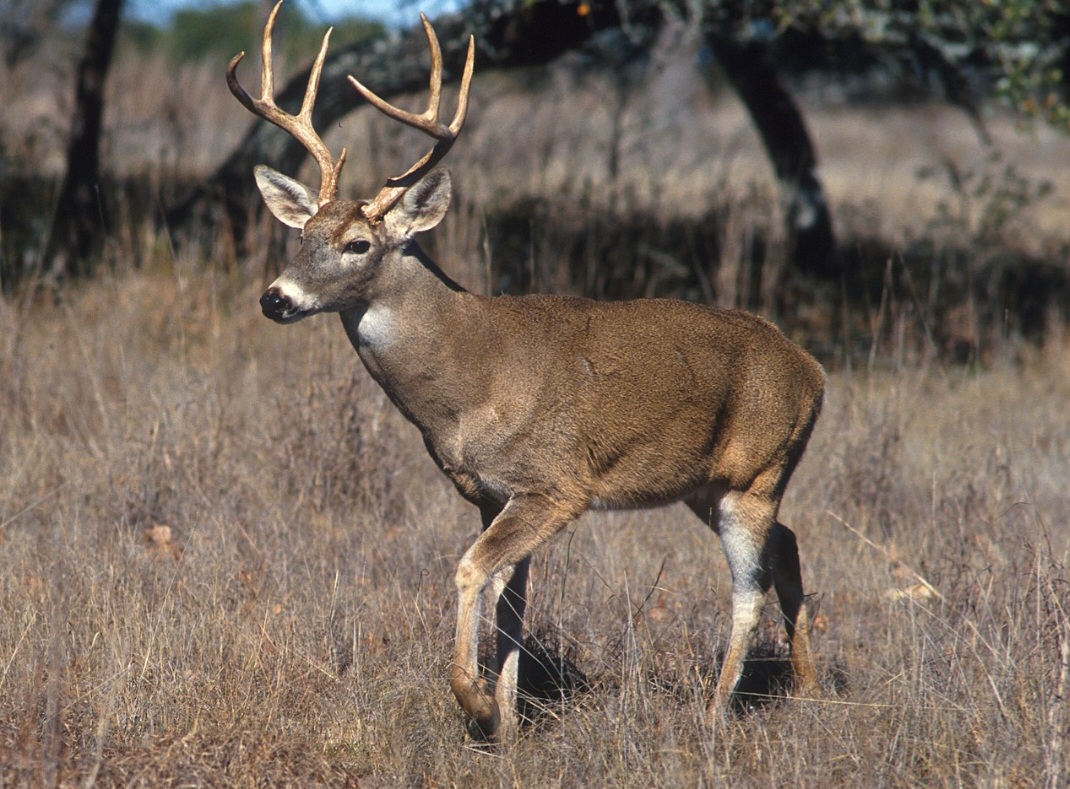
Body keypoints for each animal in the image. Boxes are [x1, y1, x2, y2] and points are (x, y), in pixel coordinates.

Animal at [230, 3, 821, 736]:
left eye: (358, 243)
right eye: (302, 235)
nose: (275, 298)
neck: (469, 380)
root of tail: (814, 371)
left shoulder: (555, 484)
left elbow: (469, 571)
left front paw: (477, 701)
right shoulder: (491, 492)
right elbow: (510, 599)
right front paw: (509, 720)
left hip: (755, 473)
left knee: (750, 585)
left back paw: (713, 714)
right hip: (708, 483)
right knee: (787, 545)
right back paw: (808, 689)